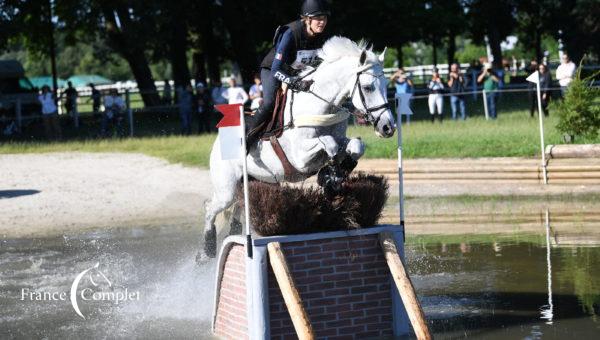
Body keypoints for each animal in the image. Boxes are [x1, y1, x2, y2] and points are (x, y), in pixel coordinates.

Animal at [199, 37, 396, 258]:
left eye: (386, 85)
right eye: (369, 87)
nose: (388, 127)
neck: (320, 104)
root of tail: (217, 143)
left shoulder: (340, 140)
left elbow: (354, 146)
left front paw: (334, 176)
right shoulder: (301, 158)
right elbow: (329, 143)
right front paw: (330, 176)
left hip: (250, 181)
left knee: (237, 209)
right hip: (227, 188)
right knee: (210, 208)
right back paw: (206, 251)